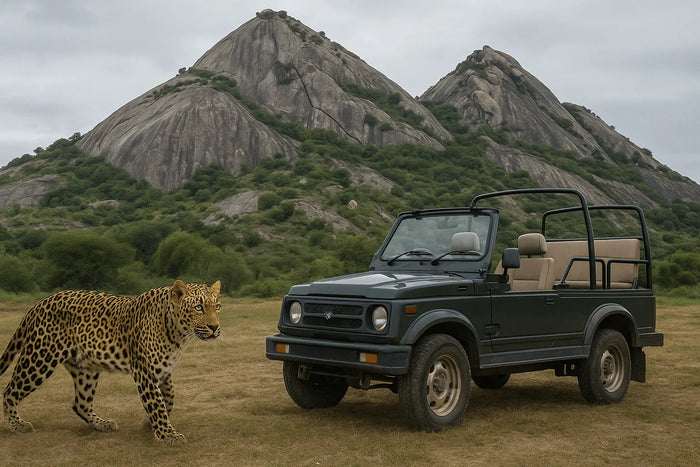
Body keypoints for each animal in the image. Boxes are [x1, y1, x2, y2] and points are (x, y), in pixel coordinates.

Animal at [0, 279, 221, 445]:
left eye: (217, 306)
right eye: (198, 307)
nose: (214, 328)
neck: (178, 333)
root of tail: (38, 304)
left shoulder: (164, 370)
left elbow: (169, 398)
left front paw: (149, 425)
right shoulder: (145, 372)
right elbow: (157, 403)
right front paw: (168, 435)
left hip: (85, 369)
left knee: (80, 403)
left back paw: (102, 424)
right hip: (40, 357)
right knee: (10, 390)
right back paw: (16, 426)